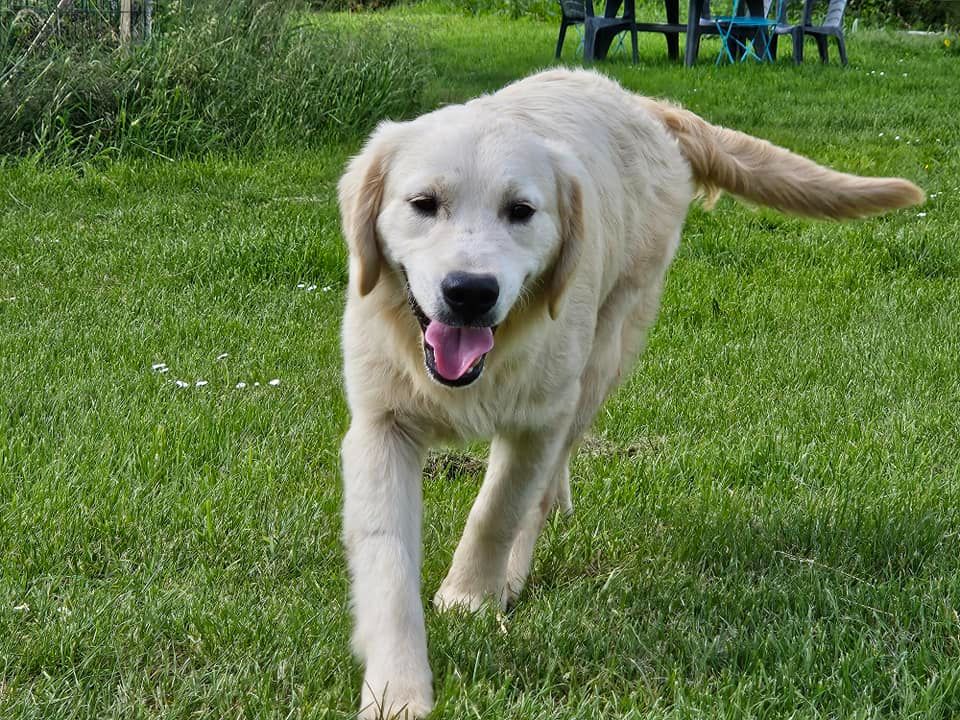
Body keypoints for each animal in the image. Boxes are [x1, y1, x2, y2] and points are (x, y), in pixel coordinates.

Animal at [336, 69, 924, 720]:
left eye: (521, 212)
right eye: (423, 204)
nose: (470, 291)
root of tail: (643, 104)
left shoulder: (542, 416)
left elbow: (499, 509)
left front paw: (471, 596)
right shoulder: (381, 425)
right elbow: (387, 561)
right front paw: (397, 691)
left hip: (606, 348)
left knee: (545, 477)